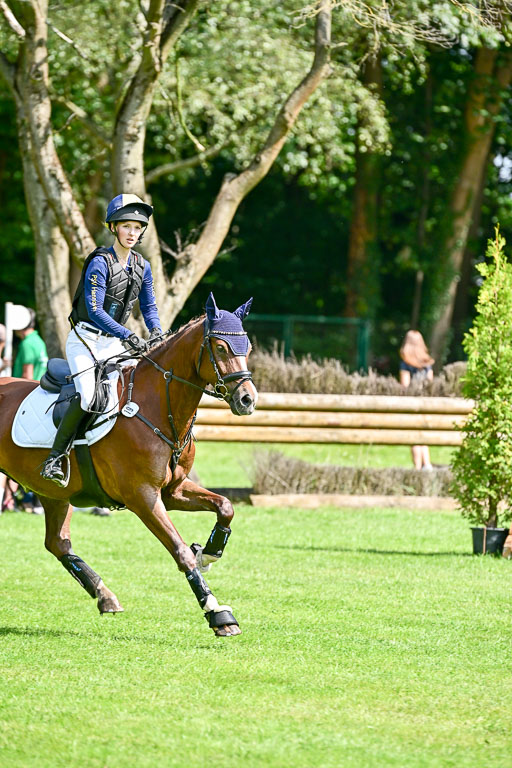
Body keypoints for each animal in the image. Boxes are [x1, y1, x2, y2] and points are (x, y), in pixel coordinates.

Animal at [0, 294, 257, 637]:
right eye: (220, 347)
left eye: (247, 347)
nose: (247, 400)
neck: (159, 406)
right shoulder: (143, 497)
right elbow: (180, 552)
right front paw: (218, 613)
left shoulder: (172, 491)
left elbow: (225, 506)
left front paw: (209, 551)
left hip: (53, 492)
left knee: (58, 543)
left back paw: (104, 595)